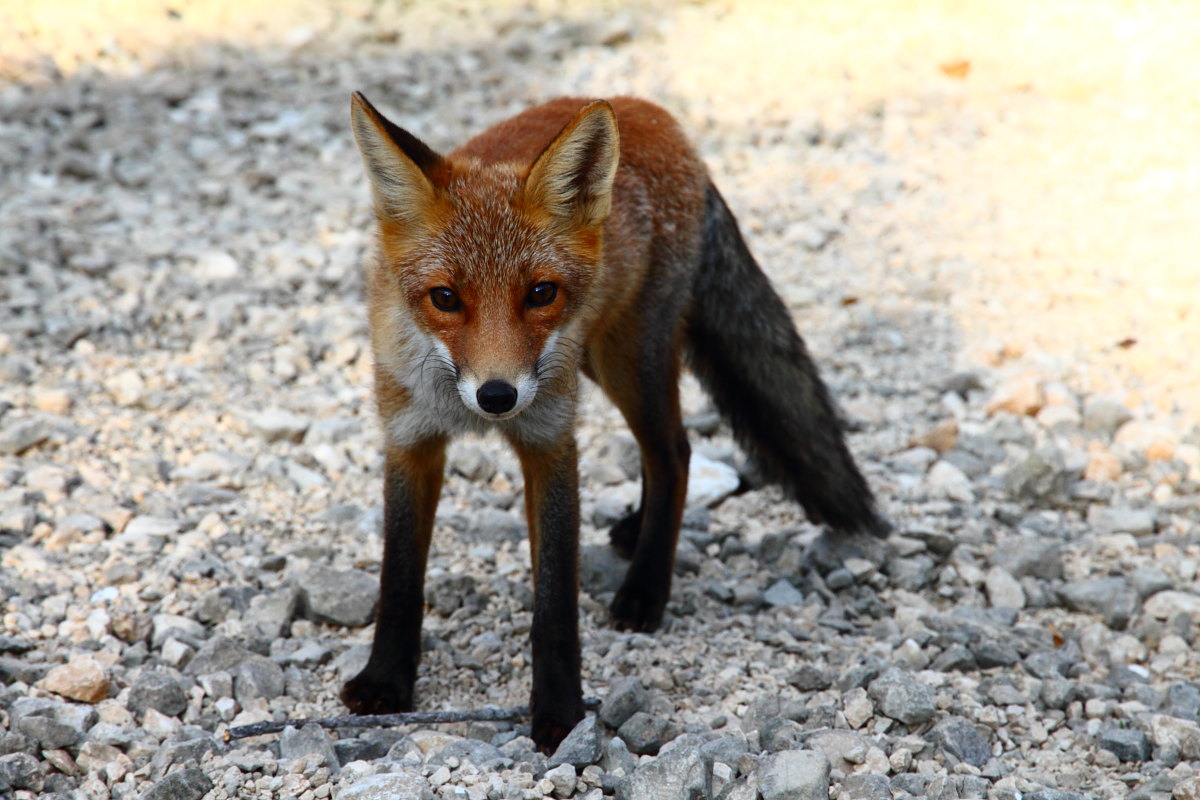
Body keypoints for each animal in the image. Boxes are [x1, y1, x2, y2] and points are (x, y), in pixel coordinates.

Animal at [341, 93, 889, 750]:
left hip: (628, 359)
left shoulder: (550, 441)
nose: (498, 396)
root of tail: (651, 112)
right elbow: (399, 578)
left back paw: (646, 587)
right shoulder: (410, 440)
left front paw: (558, 713)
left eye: (541, 293)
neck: (460, 409)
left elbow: (555, 600)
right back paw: (635, 530)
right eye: (445, 298)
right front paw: (385, 681)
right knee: (662, 453)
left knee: (673, 452)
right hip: (598, 363)